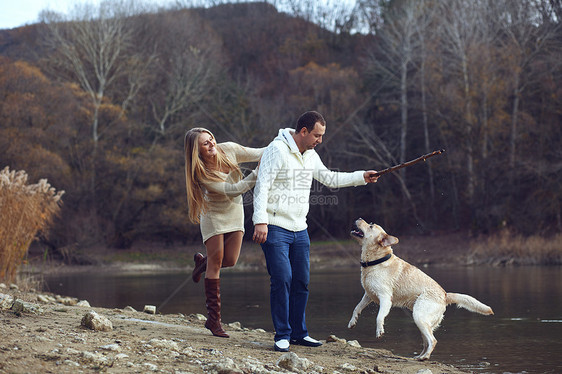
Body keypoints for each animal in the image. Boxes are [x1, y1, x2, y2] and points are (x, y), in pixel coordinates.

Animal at [346, 218, 490, 360]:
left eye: (371, 226)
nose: (359, 218)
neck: (376, 260)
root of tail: (445, 295)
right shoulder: (368, 294)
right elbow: (356, 308)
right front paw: (352, 322)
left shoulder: (385, 299)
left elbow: (379, 317)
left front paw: (379, 331)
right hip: (421, 322)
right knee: (426, 342)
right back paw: (419, 356)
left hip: (419, 316)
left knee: (433, 341)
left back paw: (424, 357)